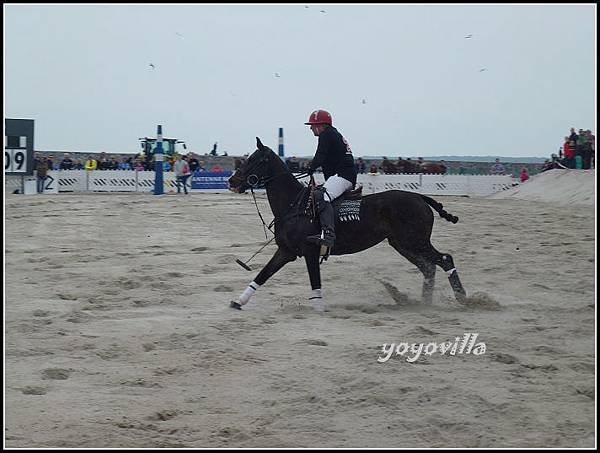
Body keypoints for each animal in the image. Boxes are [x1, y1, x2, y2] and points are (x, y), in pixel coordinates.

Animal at [227, 138, 466, 310]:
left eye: (254, 159)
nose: (231, 181)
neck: (294, 204)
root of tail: (420, 197)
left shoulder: (310, 251)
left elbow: (315, 282)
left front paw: (319, 309)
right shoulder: (286, 251)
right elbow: (263, 274)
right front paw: (238, 302)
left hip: (415, 241)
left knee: (444, 259)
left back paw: (462, 298)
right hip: (401, 244)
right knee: (428, 267)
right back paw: (424, 303)